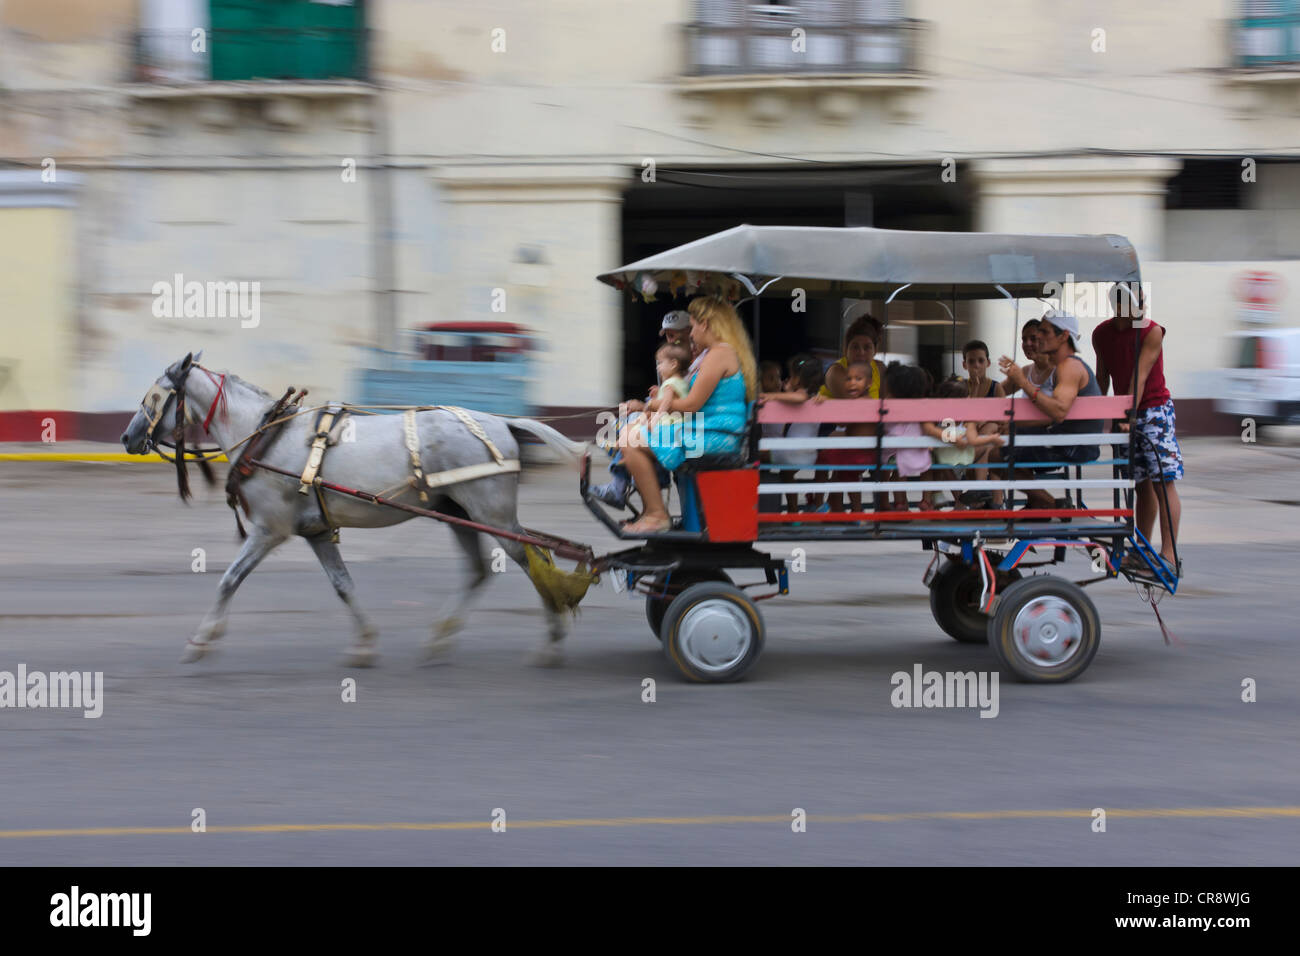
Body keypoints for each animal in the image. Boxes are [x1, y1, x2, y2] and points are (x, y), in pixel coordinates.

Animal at [122, 356, 590, 671]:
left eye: (155, 396)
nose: (127, 437)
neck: (265, 437)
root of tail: (503, 424)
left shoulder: (269, 530)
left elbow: (229, 580)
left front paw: (201, 640)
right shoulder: (316, 531)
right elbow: (343, 585)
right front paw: (364, 644)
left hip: (492, 514)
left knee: (536, 560)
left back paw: (551, 642)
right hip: (459, 512)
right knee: (478, 570)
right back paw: (440, 638)